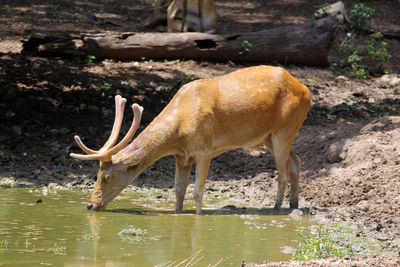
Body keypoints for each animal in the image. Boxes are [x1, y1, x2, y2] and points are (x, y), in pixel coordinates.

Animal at [69, 66, 312, 217]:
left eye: (106, 177)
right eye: (97, 175)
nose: (90, 204)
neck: (179, 130)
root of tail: (306, 91)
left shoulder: (204, 149)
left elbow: (197, 191)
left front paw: (198, 217)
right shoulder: (181, 156)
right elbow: (178, 190)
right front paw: (178, 213)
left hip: (284, 129)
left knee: (282, 173)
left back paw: (277, 208)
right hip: (269, 137)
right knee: (296, 162)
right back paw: (295, 205)